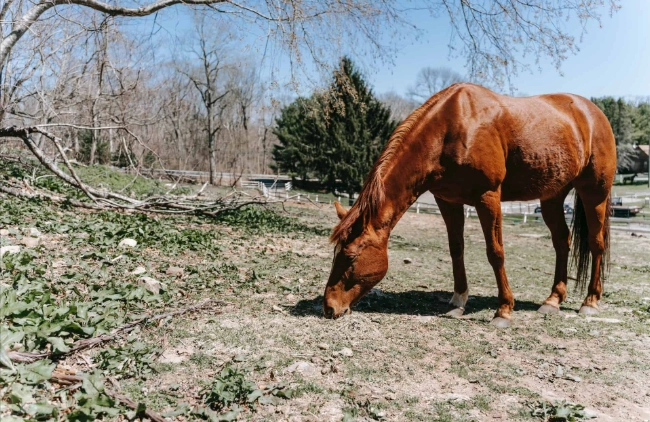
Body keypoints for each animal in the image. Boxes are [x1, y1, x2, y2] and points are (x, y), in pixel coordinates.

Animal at [323, 83, 615, 327]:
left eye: (350, 256)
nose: (329, 307)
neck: (452, 127)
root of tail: (594, 113)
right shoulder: (447, 201)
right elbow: (456, 249)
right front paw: (458, 301)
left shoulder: (488, 197)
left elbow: (495, 252)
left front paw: (504, 310)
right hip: (552, 197)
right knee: (562, 241)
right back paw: (553, 299)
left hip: (595, 193)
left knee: (596, 243)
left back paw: (590, 301)